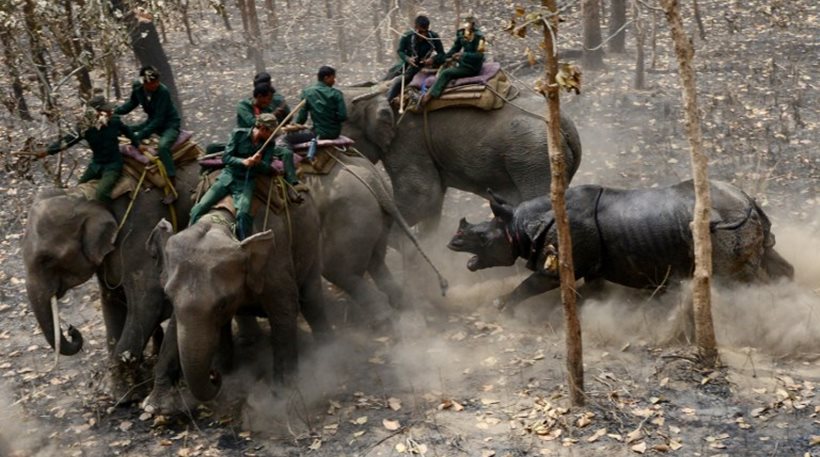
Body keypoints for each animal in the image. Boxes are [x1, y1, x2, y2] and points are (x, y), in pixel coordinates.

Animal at [21, 160, 201, 400]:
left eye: (47, 259)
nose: (72, 329)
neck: (87, 196)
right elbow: (112, 300)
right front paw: (116, 391)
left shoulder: (141, 229)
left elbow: (149, 299)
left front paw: (118, 396)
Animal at [146, 190, 328, 406]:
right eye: (168, 296)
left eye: (222, 304)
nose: (214, 375)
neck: (221, 221)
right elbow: (175, 324)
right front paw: (155, 405)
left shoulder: (275, 261)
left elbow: (285, 311)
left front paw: (284, 396)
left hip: (311, 238)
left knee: (311, 299)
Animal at [448, 180, 796, 312]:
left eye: (483, 238)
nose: (453, 242)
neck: (519, 224)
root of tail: (748, 200)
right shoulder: (592, 264)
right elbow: (594, 290)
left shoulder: (560, 262)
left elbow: (532, 283)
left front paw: (501, 306)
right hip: (743, 220)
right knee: (771, 259)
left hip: (725, 228)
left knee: (736, 281)